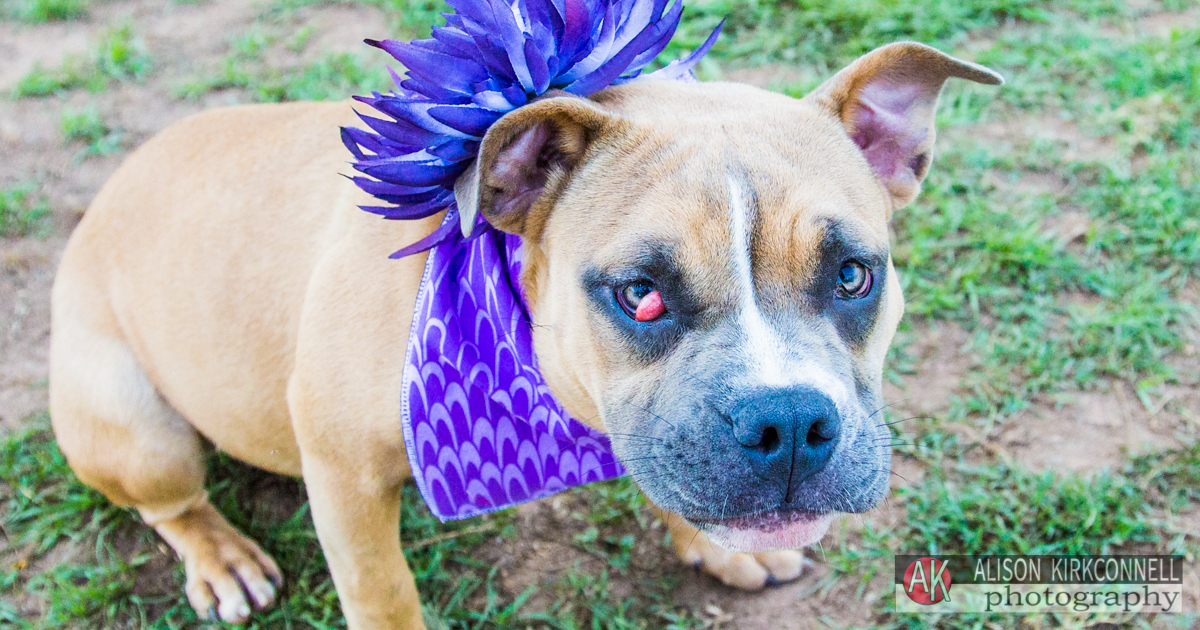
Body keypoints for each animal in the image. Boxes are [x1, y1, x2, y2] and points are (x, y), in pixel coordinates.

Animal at [49, 41, 1003, 624]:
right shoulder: (344, 475)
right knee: (172, 504)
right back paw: (221, 558)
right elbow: (384, 593)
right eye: (640, 295)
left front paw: (713, 546)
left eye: (853, 275)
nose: (792, 422)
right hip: (134, 430)